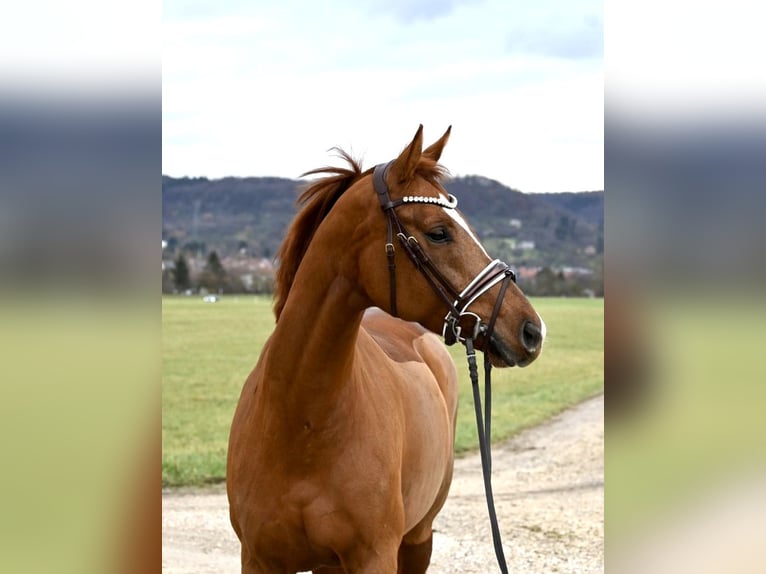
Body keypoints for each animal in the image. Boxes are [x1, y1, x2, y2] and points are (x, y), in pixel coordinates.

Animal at [228, 127, 544, 574]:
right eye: (438, 232)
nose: (531, 330)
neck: (300, 424)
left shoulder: (375, 556)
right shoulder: (258, 559)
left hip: (418, 539)